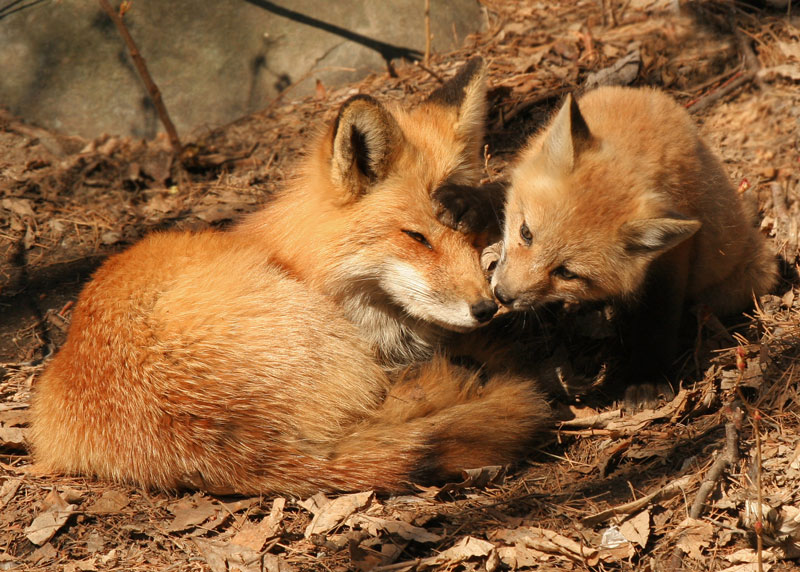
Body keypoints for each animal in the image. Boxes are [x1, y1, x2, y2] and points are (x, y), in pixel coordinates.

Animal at [490, 87, 780, 404]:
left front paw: (646, 377)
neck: (633, 144)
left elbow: (657, 321)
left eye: (567, 273)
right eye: (526, 233)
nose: (502, 295)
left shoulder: (670, 261)